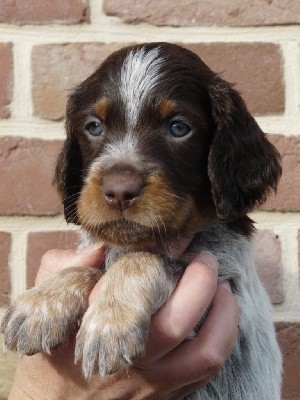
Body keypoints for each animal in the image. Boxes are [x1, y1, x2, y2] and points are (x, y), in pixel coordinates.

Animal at [0, 42, 282, 398]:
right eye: (94, 126)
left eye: (178, 128)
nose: (119, 191)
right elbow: (88, 265)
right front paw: (42, 302)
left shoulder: (224, 293)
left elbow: (144, 259)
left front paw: (109, 321)